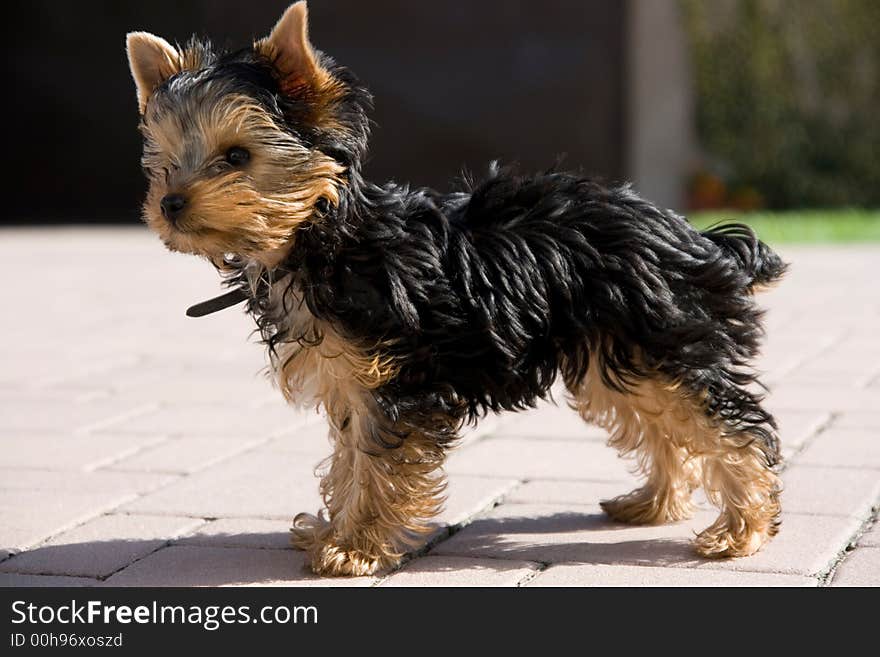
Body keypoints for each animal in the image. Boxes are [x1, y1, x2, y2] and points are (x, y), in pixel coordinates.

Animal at [124, 1, 784, 576]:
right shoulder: (351, 380)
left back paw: (742, 530)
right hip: (620, 351)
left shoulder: (394, 380)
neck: (326, 238)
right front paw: (334, 530)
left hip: (664, 337)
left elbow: (378, 461)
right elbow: (349, 459)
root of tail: (695, 236)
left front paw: (353, 549)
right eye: (165, 161)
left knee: (725, 424)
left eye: (237, 156)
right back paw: (654, 504)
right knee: (663, 420)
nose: (170, 204)